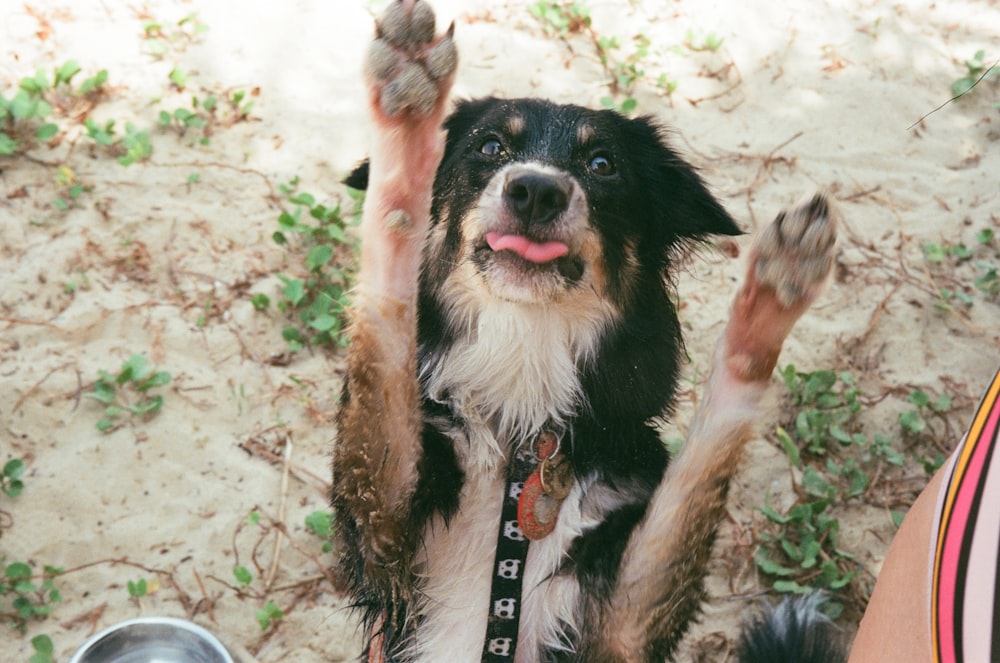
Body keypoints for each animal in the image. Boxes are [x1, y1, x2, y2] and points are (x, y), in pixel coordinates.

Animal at [334, 2, 844, 660]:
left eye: (603, 164)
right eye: (490, 146)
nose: (535, 190)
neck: (522, 439)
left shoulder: (622, 624)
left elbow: (701, 468)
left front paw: (771, 300)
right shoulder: (386, 533)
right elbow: (388, 303)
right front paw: (406, 115)